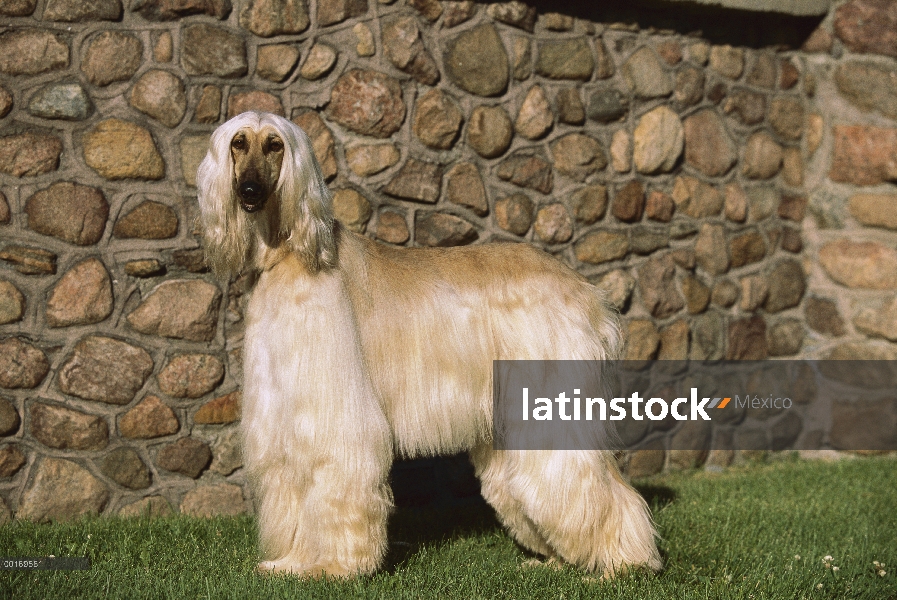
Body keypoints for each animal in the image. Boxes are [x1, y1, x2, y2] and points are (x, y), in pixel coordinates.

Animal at [198, 111, 656, 576]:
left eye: (274, 145)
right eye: (238, 143)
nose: (249, 191)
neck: (288, 255)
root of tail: (587, 292)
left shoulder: (333, 414)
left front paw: (335, 567)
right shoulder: (281, 412)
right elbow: (289, 481)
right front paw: (291, 562)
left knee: (589, 481)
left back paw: (622, 563)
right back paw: (558, 562)